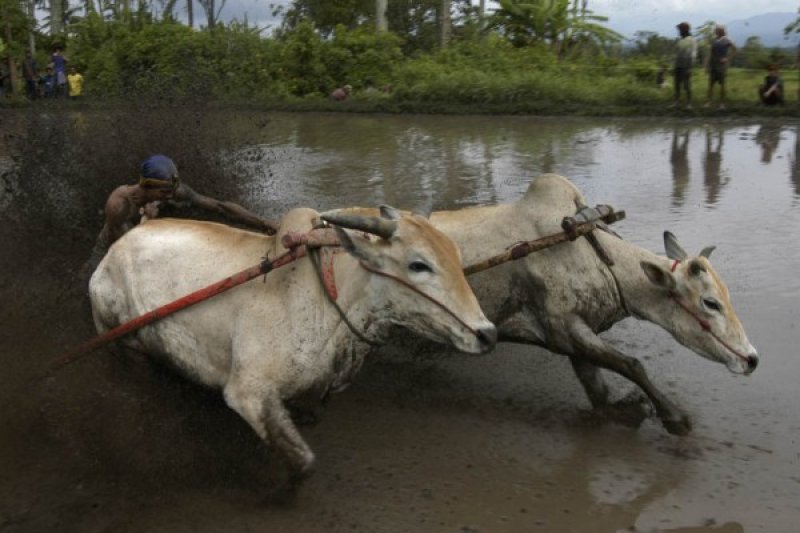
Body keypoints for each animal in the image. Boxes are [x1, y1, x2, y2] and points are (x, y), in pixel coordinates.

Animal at [90, 206, 496, 484]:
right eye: (419, 265)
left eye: (456, 256)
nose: (487, 333)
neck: (329, 302)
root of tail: (111, 254)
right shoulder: (248, 393)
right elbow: (302, 463)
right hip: (120, 342)